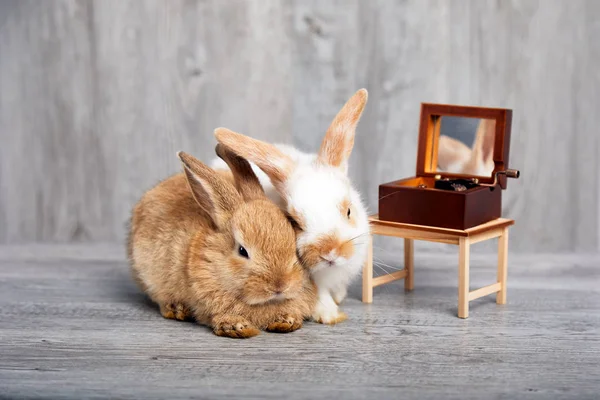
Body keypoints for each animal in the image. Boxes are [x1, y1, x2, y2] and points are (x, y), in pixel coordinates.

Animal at [125, 144, 316, 338]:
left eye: (294, 244)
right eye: (242, 251)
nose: (280, 285)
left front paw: (286, 321)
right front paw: (237, 327)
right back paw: (177, 309)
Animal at [211, 89, 370, 324]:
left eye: (349, 210)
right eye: (294, 221)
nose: (330, 253)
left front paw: (339, 298)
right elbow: (318, 294)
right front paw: (329, 315)